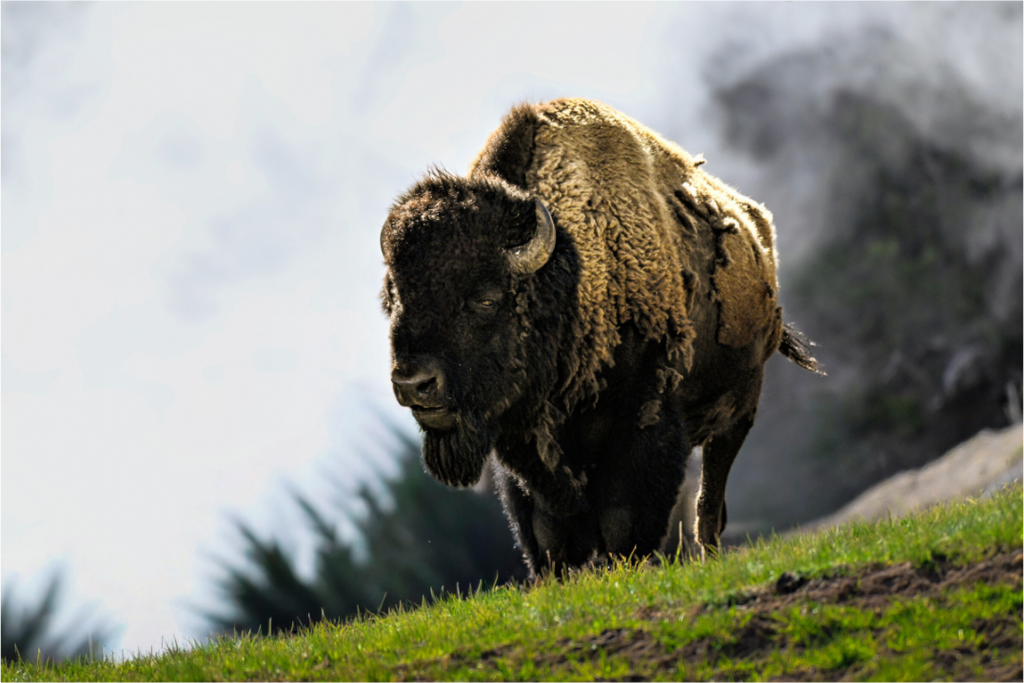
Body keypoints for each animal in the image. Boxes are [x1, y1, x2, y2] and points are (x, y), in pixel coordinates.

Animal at [380, 99, 820, 575]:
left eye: (485, 299)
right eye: (394, 298)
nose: (414, 384)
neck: (575, 275)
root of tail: (756, 223)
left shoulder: (641, 421)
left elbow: (622, 521)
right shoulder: (527, 455)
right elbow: (546, 536)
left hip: (740, 408)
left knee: (709, 499)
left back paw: (709, 553)